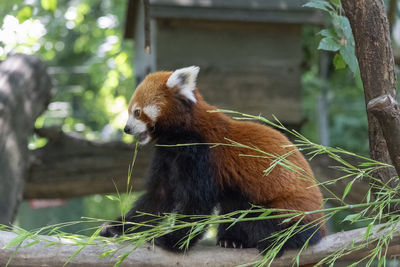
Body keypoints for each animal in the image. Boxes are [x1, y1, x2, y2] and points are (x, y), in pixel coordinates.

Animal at [100, 66, 324, 255]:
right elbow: (157, 197)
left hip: (288, 212)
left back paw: (271, 242)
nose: (126, 129)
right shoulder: (167, 156)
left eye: (137, 112)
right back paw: (232, 240)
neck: (181, 134)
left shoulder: (201, 155)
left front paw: (171, 241)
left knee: (263, 220)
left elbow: (196, 203)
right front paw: (116, 227)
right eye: (130, 111)